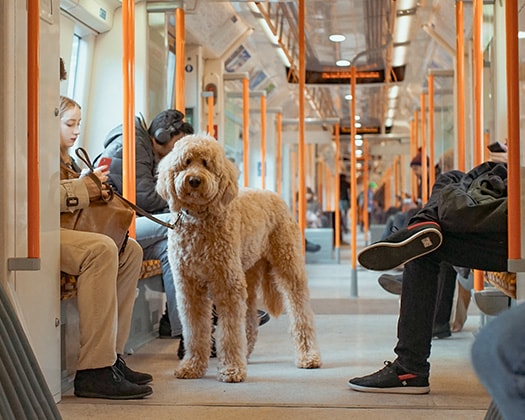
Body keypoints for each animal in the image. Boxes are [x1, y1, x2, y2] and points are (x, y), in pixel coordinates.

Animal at [156, 133, 320, 382]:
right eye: (186, 162)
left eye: (206, 164)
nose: (194, 180)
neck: (198, 220)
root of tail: (272, 195)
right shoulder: (188, 287)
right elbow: (195, 329)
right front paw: (192, 366)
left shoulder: (227, 284)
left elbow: (230, 331)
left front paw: (231, 369)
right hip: (247, 275)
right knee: (250, 319)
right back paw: (247, 352)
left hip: (288, 265)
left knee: (301, 312)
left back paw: (308, 356)